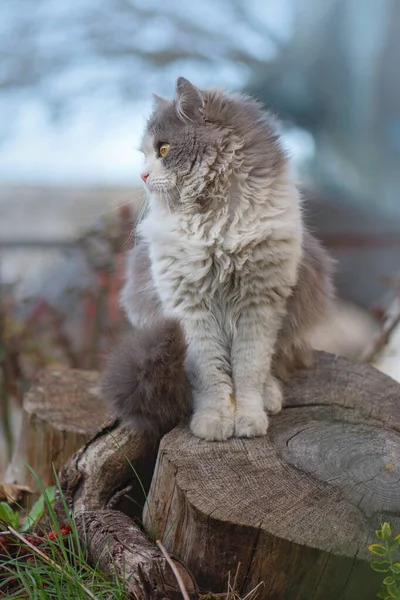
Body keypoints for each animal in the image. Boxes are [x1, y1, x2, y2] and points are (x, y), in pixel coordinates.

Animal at [104, 77, 334, 440]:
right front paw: (213, 422)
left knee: (271, 365)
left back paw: (270, 396)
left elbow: (249, 371)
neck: (214, 218)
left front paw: (249, 419)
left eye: (163, 150)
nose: (142, 176)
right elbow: (210, 375)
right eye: (145, 154)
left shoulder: (259, 305)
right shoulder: (190, 310)